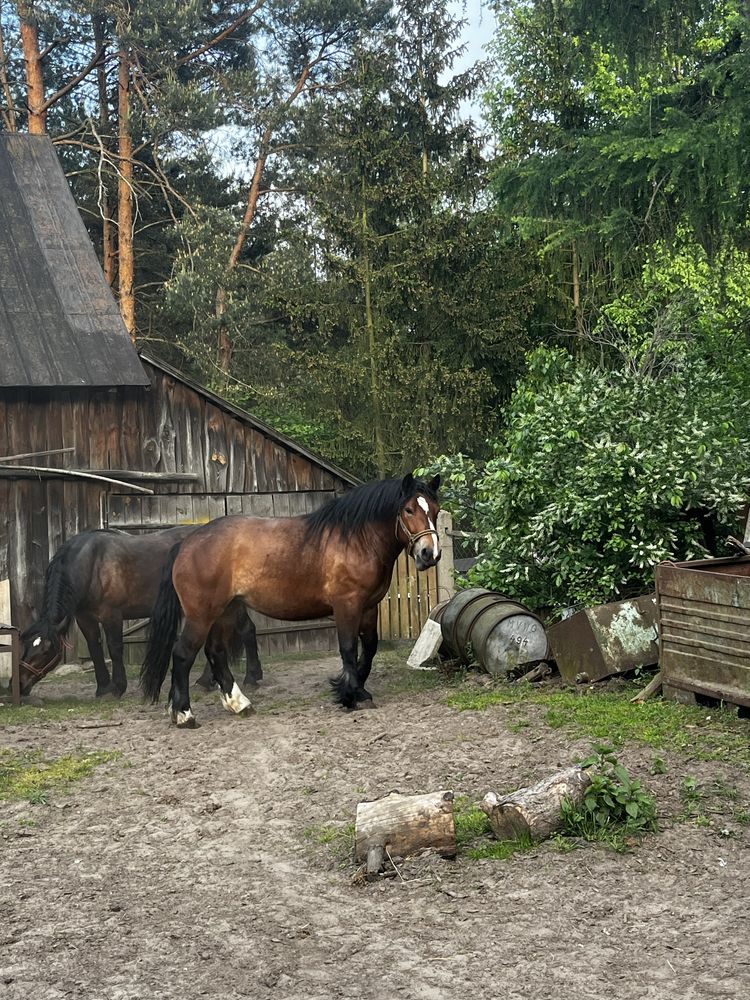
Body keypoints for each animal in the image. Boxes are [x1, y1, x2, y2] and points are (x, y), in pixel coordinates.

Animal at [17, 528, 262, 700]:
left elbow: (115, 648)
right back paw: (208, 681)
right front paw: (102, 688)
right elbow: (95, 649)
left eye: (46, 651)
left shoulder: (112, 615)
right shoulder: (85, 618)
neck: (90, 565)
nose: (19, 685)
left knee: (246, 630)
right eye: (26, 647)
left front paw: (117, 687)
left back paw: (251, 677)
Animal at [142, 474, 440, 728]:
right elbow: (347, 649)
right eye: (409, 510)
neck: (356, 539)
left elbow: (369, 649)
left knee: (215, 653)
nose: (429, 553)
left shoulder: (368, 607)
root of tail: (186, 544)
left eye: (435, 510)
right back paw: (184, 714)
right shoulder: (347, 605)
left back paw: (238, 704)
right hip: (201, 615)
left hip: (224, 612)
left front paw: (356, 690)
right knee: (183, 654)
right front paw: (352, 694)